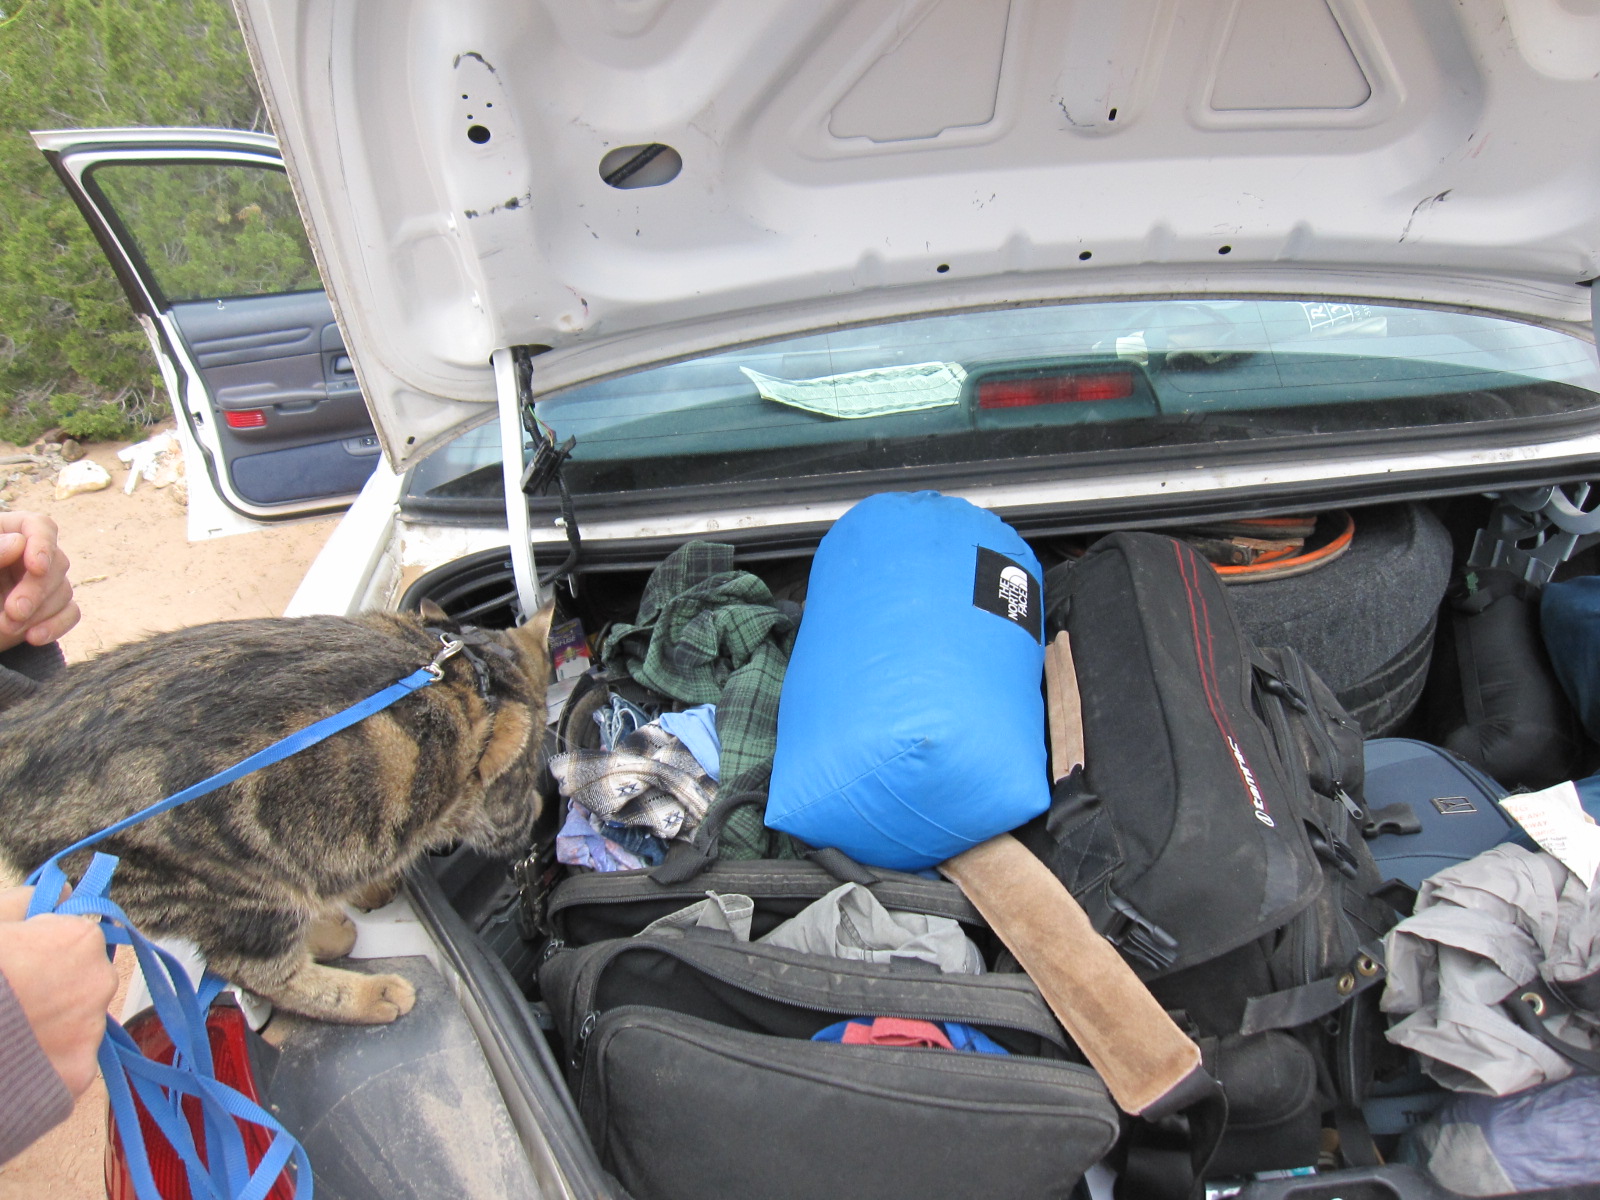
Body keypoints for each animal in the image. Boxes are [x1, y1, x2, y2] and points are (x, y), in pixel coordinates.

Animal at [0, 601, 553, 1025]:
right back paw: (369, 992)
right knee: (258, 972)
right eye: (529, 770)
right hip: (237, 887)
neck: (470, 669)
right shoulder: (495, 805)